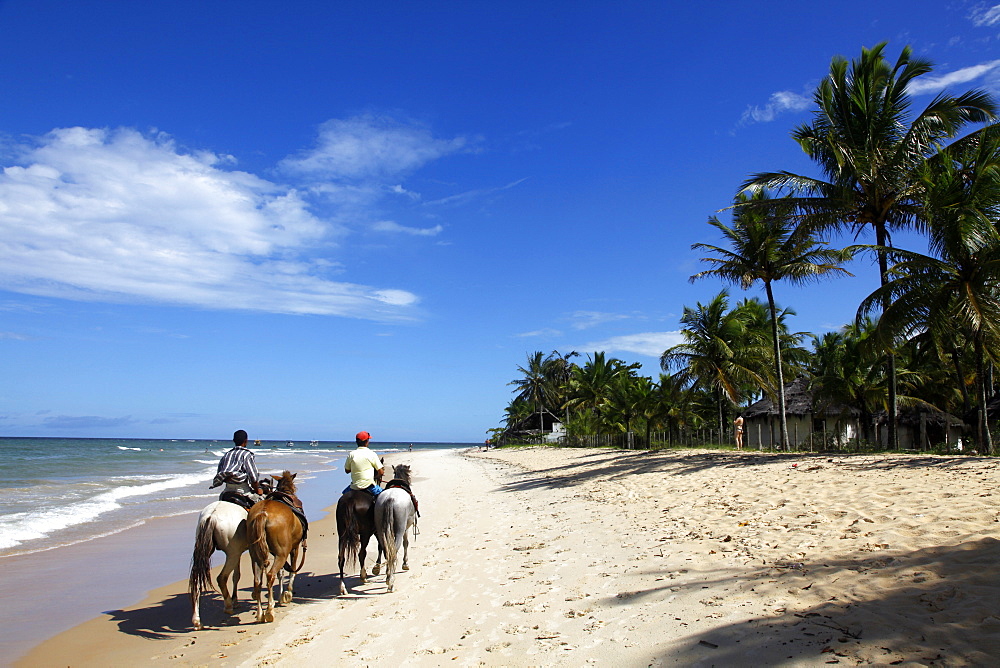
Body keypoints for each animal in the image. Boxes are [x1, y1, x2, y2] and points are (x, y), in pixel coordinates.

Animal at [188, 500, 250, 632]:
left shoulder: (239, 552)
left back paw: (197, 621)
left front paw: (235, 600)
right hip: (232, 554)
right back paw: (228, 606)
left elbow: (236, 576)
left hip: (210, 550)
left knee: (197, 582)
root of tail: (211, 516)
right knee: (221, 578)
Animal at [246, 472, 304, 624]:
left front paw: (280, 596)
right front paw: (287, 593)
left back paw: (260, 613)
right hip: (281, 554)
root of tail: (263, 513)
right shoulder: (294, 548)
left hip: (255, 555)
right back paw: (269, 611)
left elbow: (281, 573)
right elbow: (292, 570)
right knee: (270, 575)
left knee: (258, 581)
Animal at [334, 464, 384, 596]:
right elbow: (380, 546)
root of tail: (350, 501)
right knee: (362, 553)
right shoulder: (376, 530)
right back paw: (363, 576)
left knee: (341, 558)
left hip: (341, 533)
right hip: (365, 533)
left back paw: (342, 587)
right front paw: (377, 567)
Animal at [376, 462, 420, 592]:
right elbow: (406, 544)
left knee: (386, 549)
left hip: (380, 529)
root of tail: (390, 498)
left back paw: (388, 575)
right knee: (394, 549)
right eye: (409, 475)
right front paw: (405, 564)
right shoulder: (406, 528)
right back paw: (390, 581)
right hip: (400, 530)